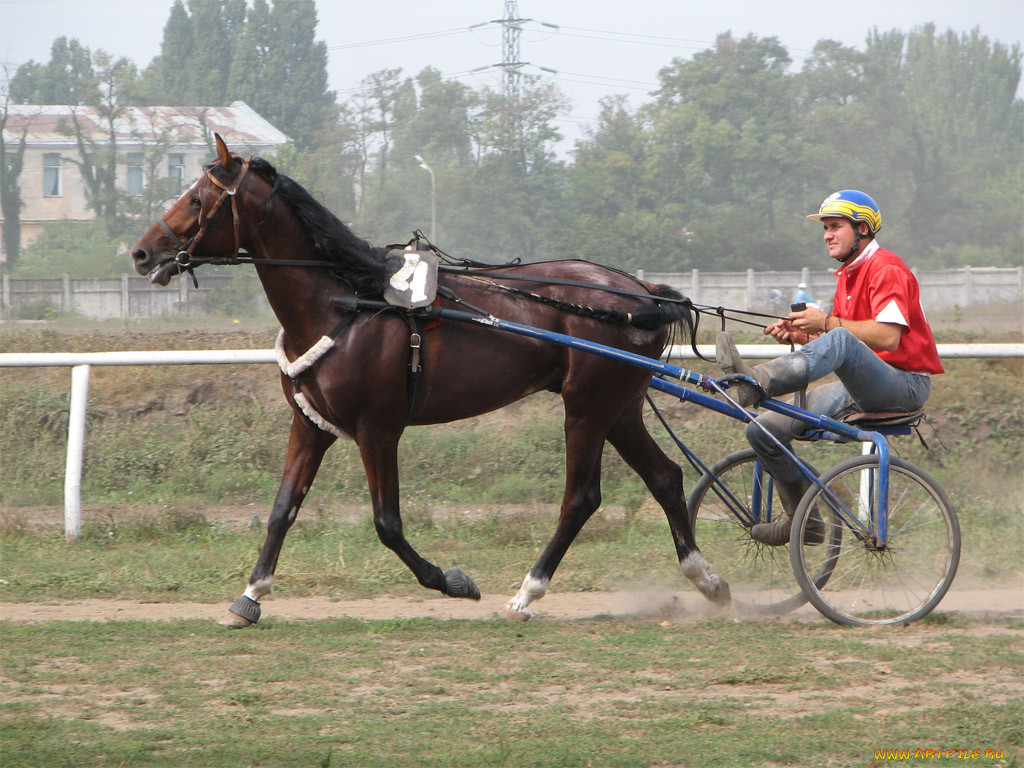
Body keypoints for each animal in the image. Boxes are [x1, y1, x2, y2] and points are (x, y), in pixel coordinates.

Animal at [130, 135, 729, 626]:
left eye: (195, 199)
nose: (141, 251)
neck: (345, 301)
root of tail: (641, 291)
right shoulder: (311, 423)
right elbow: (283, 510)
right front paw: (251, 595)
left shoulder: (378, 429)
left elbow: (387, 524)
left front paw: (452, 581)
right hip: (619, 406)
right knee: (666, 477)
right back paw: (708, 580)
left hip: (586, 408)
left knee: (581, 497)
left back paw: (527, 591)